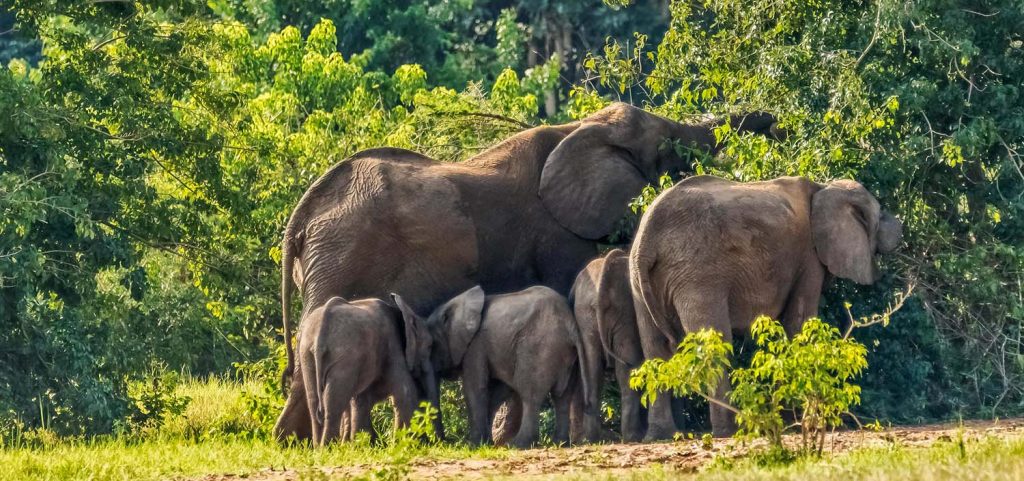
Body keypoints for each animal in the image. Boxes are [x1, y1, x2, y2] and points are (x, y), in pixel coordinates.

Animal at [296, 296, 440, 446]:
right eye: (430, 346)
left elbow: (361, 400)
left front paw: (362, 444)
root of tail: (320, 335)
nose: (438, 441)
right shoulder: (393, 346)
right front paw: (404, 444)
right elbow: (405, 393)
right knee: (333, 404)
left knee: (314, 402)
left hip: (306, 355)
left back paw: (320, 447)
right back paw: (327, 447)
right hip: (344, 355)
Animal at [395, 286, 598, 446]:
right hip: (568, 355)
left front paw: (474, 445)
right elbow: (497, 391)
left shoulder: (476, 345)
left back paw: (518, 445)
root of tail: (570, 326)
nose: (447, 442)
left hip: (540, 347)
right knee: (562, 397)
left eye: (432, 346)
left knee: (530, 394)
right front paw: (486, 443)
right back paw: (560, 444)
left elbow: (475, 388)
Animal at [569, 251, 638, 444]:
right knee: (626, 369)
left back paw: (592, 440)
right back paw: (632, 438)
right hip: (621, 309)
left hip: (586, 313)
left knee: (592, 370)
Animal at [626, 177, 901, 440]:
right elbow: (798, 323)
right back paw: (729, 430)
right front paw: (795, 421)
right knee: (715, 345)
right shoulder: (809, 257)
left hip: (639, 282)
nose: (901, 226)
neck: (824, 187)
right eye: (880, 215)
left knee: (654, 350)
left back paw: (659, 435)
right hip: (697, 273)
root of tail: (647, 238)